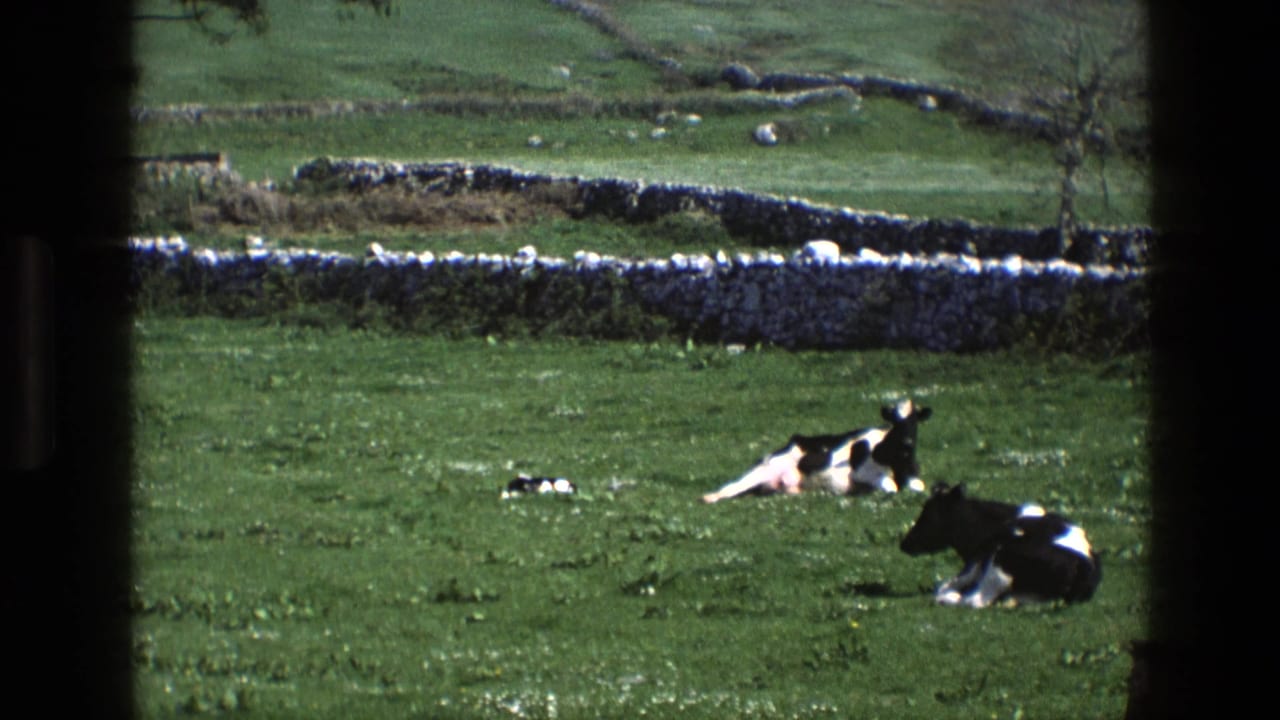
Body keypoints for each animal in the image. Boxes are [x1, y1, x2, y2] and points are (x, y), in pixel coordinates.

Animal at [700, 399, 932, 503]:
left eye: (914, 421)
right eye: (895, 421)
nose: (908, 443)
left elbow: (918, 487)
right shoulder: (861, 472)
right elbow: (890, 486)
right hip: (766, 468)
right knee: (732, 487)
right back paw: (710, 497)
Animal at [899, 482, 1101, 607]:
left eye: (927, 515)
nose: (904, 543)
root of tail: (1082, 566)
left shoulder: (976, 561)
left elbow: (947, 584)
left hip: (1000, 566)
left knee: (975, 600)